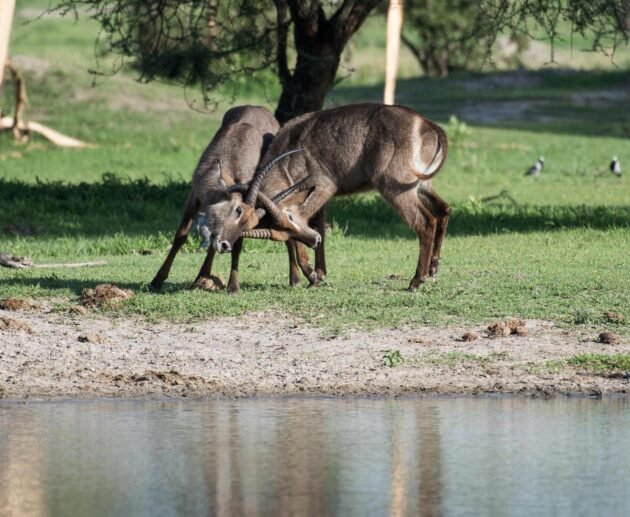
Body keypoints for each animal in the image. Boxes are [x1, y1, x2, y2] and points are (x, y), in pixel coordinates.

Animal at [212, 104, 450, 290]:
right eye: (280, 234)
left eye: (290, 218)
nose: (313, 241)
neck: (290, 149)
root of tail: (425, 124)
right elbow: (319, 229)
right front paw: (318, 274)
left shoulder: (324, 187)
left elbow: (309, 222)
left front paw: (312, 275)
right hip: (420, 186)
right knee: (443, 210)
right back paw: (433, 268)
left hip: (393, 187)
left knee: (425, 221)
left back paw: (416, 280)